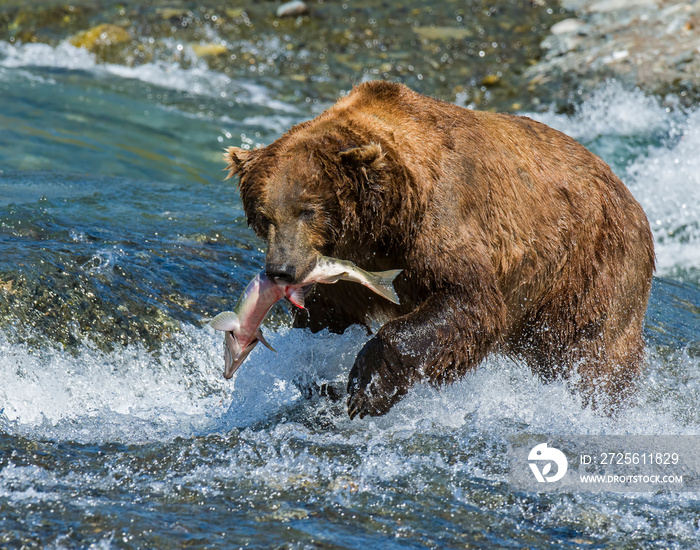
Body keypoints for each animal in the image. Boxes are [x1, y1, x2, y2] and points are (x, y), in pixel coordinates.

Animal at [226, 81, 656, 418]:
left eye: (307, 209)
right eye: (264, 216)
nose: (281, 270)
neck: (383, 221)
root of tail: (633, 199)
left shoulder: (441, 220)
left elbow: (468, 303)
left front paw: (367, 388)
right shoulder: (349, 267)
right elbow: (326, 318)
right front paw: (317, 376)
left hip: (590, 267)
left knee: (592, 352)